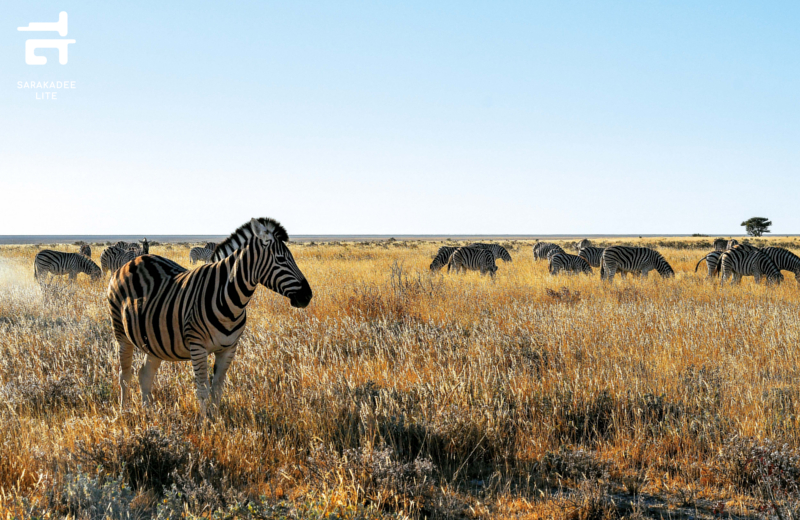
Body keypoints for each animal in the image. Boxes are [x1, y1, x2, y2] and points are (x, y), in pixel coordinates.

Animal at [108, 217, 312, 412]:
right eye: (281, 259)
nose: (308, 295)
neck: (229, 299)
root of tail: (133, 261)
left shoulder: (229, 348)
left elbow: (217, 389)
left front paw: (216, 420)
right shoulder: (198, 347)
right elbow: (203, 391)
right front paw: (204, 423)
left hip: (153, 340)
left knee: (145, 374)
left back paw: (148, 413)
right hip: (121, 332)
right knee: (125, 375)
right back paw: (125, 412)